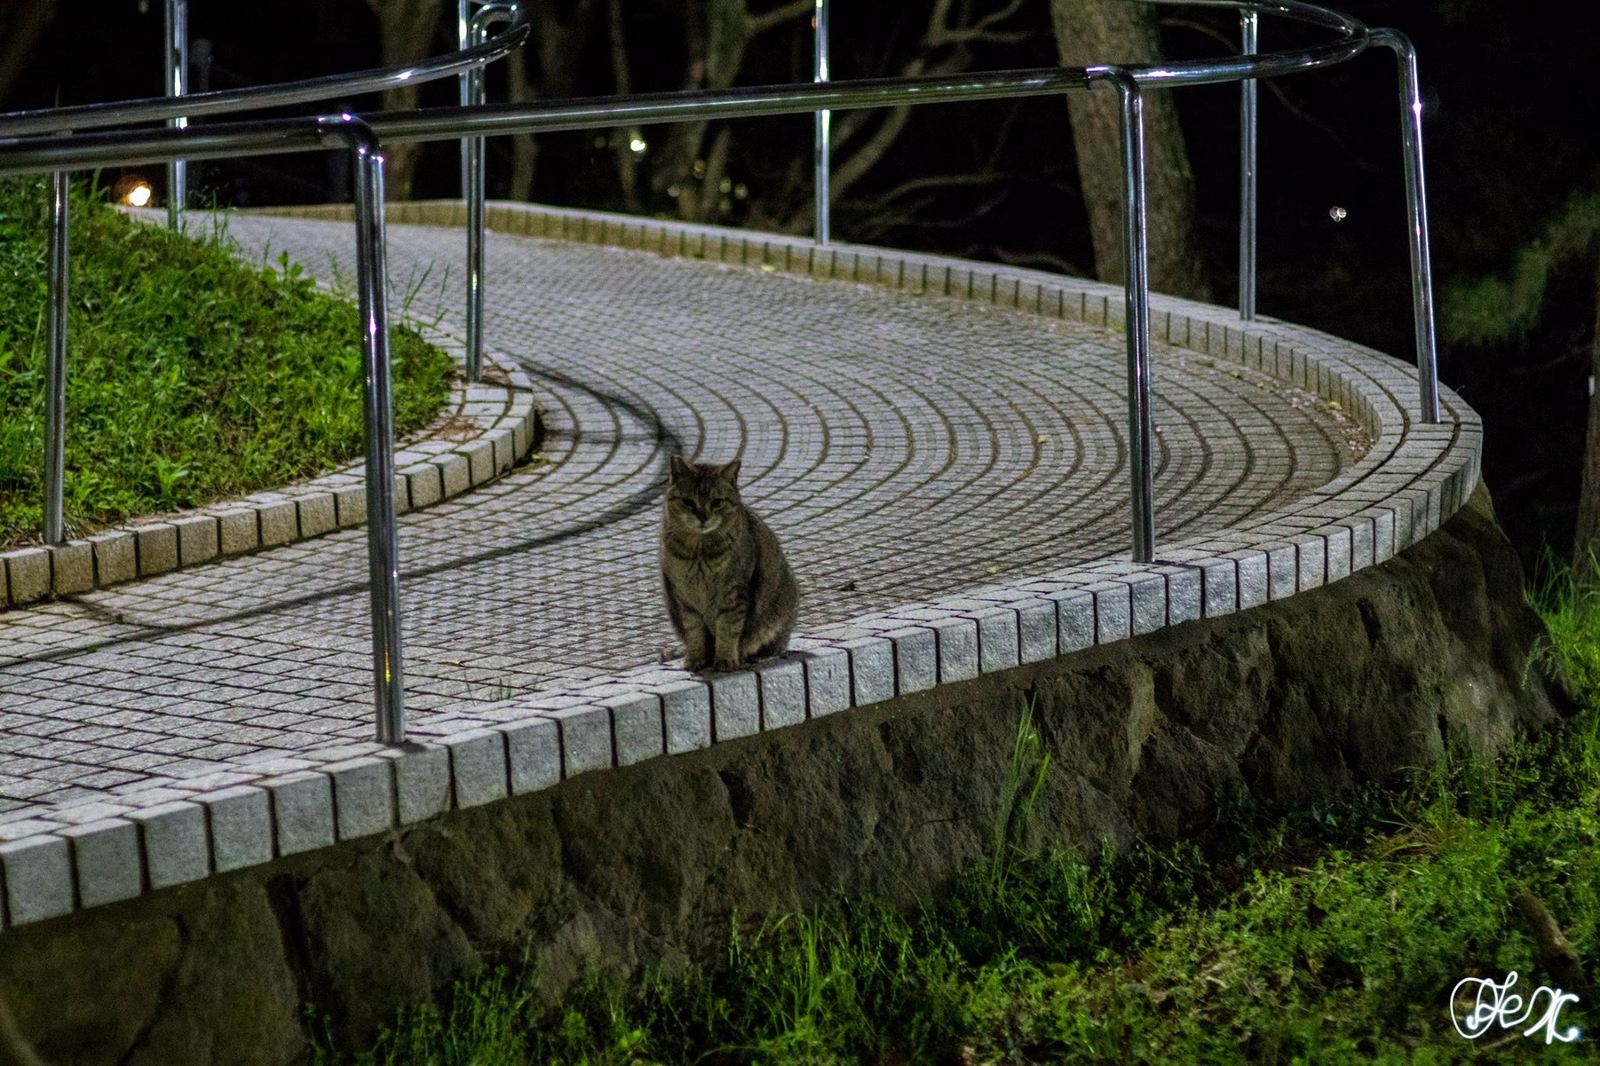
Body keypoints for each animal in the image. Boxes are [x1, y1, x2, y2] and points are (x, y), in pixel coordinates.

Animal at [659, 454, 796, 669]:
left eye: (717, 502)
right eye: (688, 502)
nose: (703, 517)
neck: (699, 551)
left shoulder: (733, 594)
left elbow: (728, 630)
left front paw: (725, 659)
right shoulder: (685, 599)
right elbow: (694, 632)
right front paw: (695, 659)